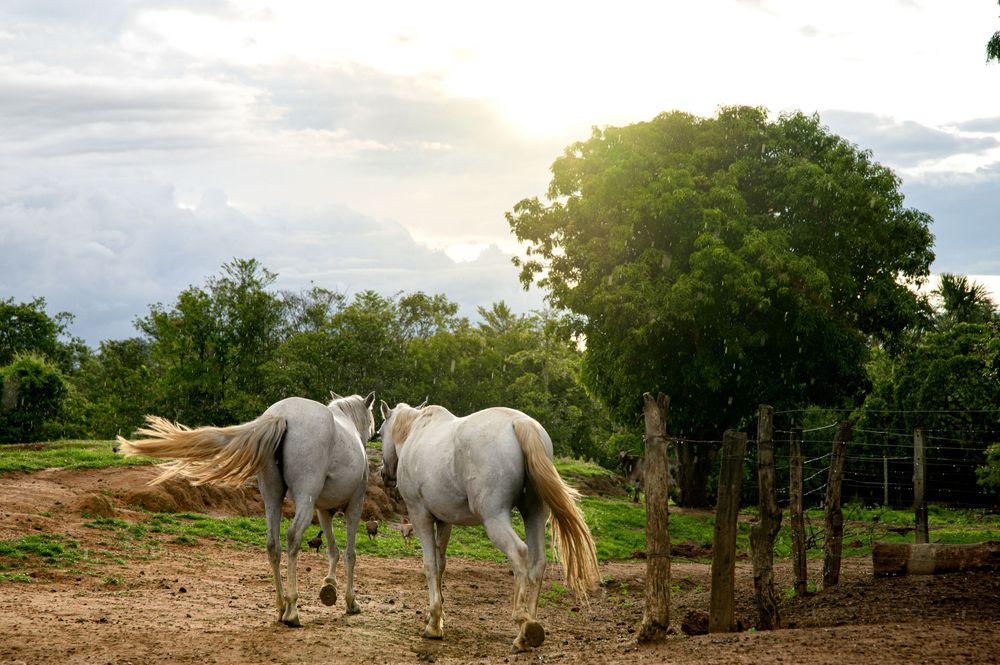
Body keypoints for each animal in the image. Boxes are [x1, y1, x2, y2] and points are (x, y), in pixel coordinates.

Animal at [117, 391, 375, 626]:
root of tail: (282, 416)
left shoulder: (323, 511)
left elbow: (333, 549)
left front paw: (329, 587)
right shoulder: (354, 506)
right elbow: (350, 553)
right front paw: (350, 601)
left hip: (273, 494)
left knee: (273, 545)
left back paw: (281, 607)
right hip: (304, 498)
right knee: (292, 537)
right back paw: (292, 610)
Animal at [377, 401, 600, 652]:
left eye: (380, 433)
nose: (384, 474)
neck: (416, 432)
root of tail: (520, 423)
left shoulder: (420, 516)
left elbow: (430, 565)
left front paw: (434, 624)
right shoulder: (444, 521)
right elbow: (441, 564)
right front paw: (438, 616)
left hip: (494, 519)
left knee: (519, 553)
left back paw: (521, 620)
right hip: (533, 515)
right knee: (537, 563)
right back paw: (527, 631)